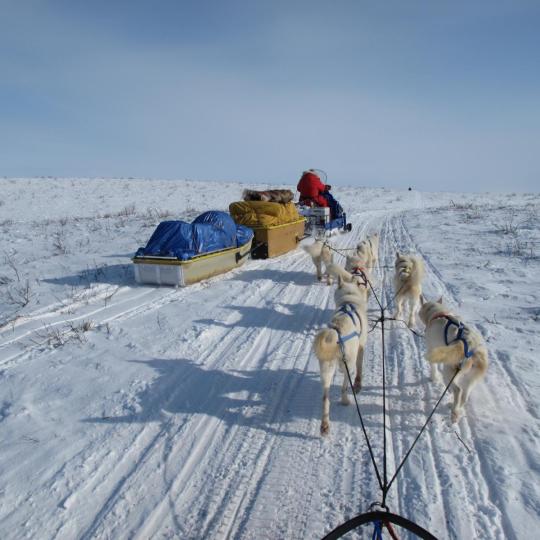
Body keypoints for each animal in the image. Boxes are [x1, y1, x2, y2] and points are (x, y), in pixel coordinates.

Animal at [314, 274, 370, 434]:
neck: (348, 300)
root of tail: (336, 332)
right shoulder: (361, 348)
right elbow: (360, 368)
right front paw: (358, 383)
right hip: (348, 365)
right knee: (344, 386)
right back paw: (345, 401)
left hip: (326, 369)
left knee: (325, 398)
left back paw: (325, 425)